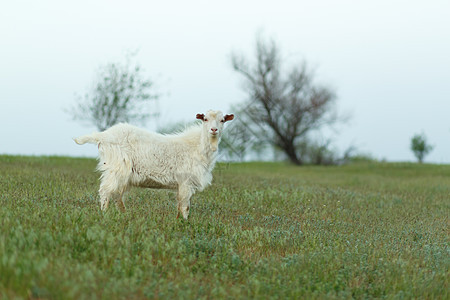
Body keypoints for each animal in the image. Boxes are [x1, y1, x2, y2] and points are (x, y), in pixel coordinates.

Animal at [73, 109, 236, 218]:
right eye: (205, 119)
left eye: (222, 120)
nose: (214, 129)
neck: (197, 147)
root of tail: (103, 135)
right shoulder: (186, 181)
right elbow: (185, 206)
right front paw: (184, 222)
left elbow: (181, 205)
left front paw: (179, 222)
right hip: (116, 168)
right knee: (105, 191)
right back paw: (104, 215)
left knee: (117, 195)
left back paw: (124, 215)